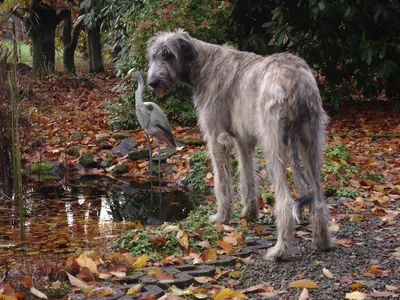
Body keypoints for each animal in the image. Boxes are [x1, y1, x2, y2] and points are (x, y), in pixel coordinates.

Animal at [145, 29, 332, 262]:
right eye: (153, 56)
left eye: (169, 55)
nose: (152, 82)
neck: (203, 64)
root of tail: (295, 79)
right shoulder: (244, 140)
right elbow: (246, 176)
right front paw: (249, 213)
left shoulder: (217, 138)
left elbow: (221, 181)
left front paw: (221, 217)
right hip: (311, 140)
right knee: (318, 195)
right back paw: (322, 241)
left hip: (273, 142)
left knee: (285, 201)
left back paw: (280, 250)